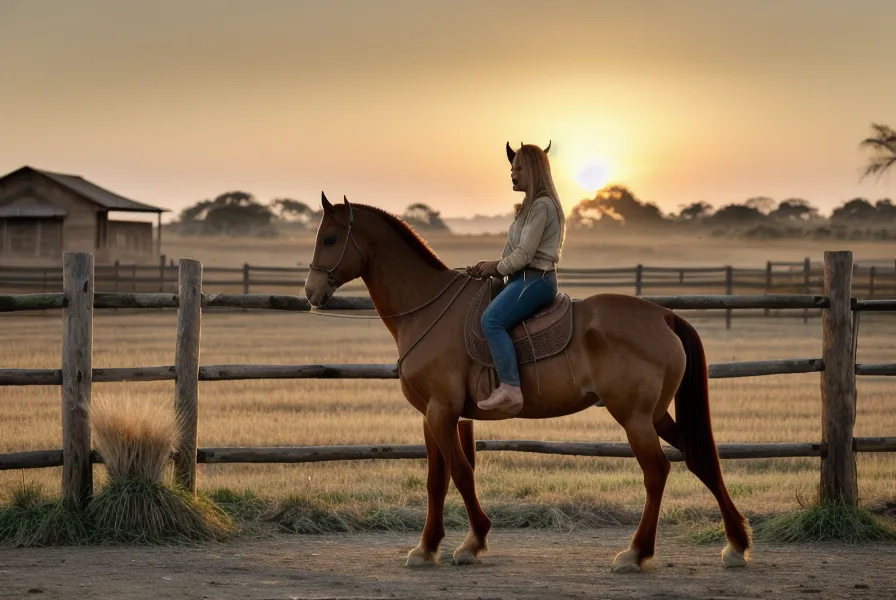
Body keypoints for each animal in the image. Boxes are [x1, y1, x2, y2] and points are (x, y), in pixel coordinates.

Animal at [303, 192, 751, 574]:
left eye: (329, 238)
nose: (311, 291)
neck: (427, 308)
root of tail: (663, 314)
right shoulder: (437, 417)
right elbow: (437, 481)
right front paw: (428, 547)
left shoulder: (441, 413)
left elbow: (460, 474)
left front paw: (472, 541)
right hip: (656, 415)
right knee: (700, 459)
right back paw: (736, 544)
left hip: (635, 418)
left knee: (657, 471)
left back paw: (636, 553)